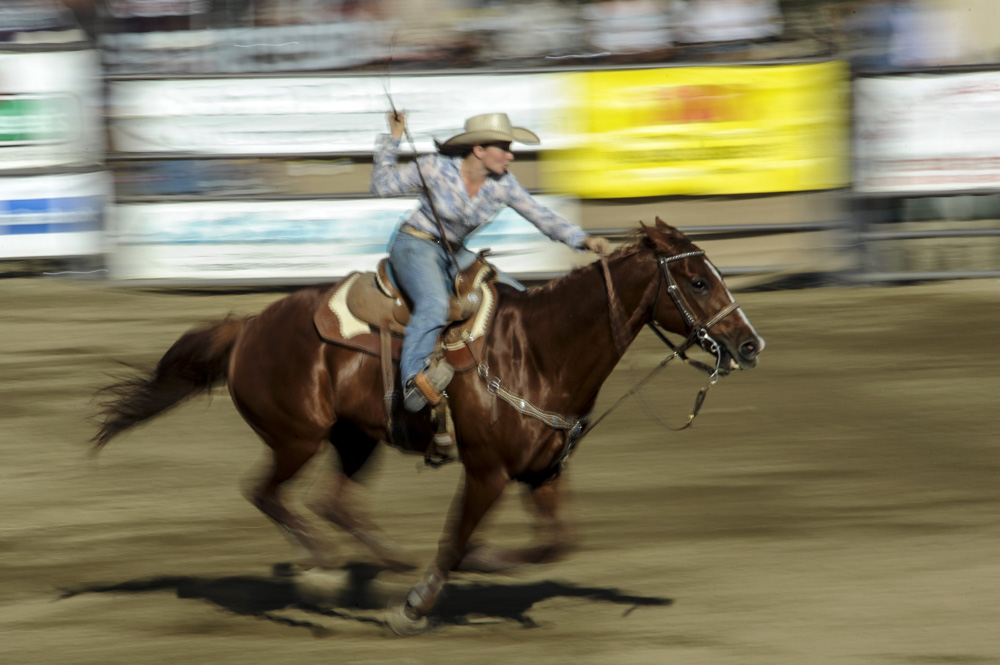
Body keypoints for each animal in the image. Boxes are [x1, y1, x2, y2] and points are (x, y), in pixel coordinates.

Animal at [94, 218, 764, 632]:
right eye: (698, 280)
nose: (750, 345)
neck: (538, 353)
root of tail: (247, 327)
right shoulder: (488, 472)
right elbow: (456, 541)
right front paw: (416, 607)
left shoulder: (544, 473)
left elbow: (555, 543)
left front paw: (487, 565)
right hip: (296, 437)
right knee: (266, 492)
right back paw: (322, 572)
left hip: (354, 439)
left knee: (331, 500)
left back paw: (376, 565)